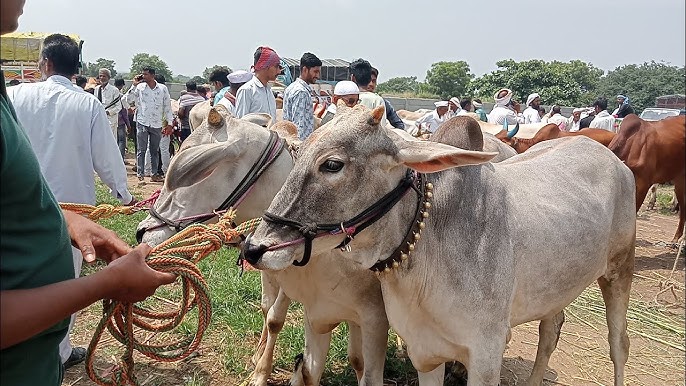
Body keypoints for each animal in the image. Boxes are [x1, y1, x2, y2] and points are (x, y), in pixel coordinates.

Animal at [243, 105, 640, 386]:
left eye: (333, 165)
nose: (254, 247)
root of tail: (610, 156)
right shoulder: (425, 352)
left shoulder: (487, 355)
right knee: (551, 329)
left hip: (620, 268)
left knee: (619, 344)